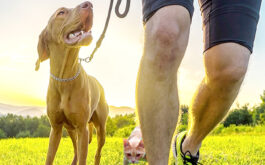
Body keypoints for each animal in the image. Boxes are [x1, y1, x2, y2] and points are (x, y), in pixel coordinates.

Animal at [35, 1, 108, 165]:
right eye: (61, 12)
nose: (89, 4)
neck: (64, 77)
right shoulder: (56, 129)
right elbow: (49, 158)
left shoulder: (82, 128)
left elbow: (83, 158)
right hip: (70, 129)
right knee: (76, 150)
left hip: (100, 128)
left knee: (97, 153)